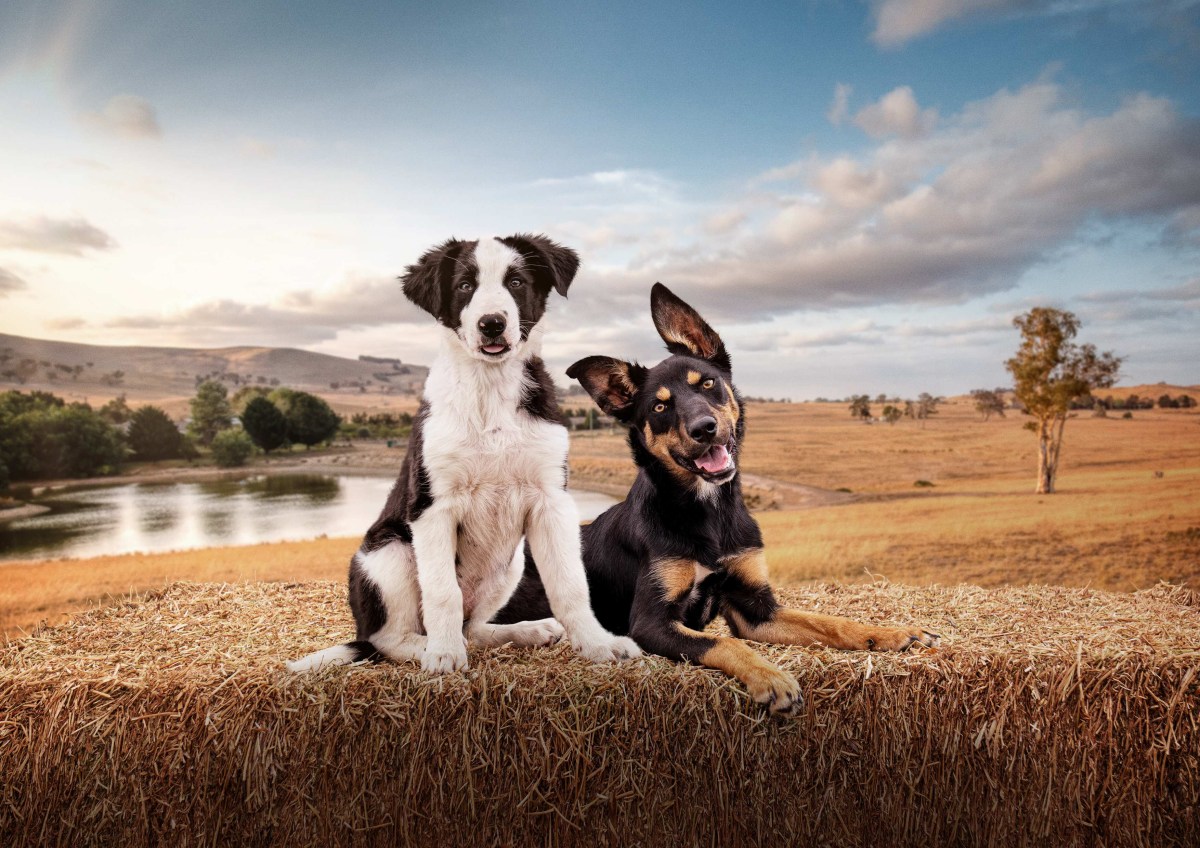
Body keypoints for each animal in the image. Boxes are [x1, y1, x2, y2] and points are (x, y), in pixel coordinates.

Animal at [286, 235, 643, 671]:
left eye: (517, 282)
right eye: (464, 286)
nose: (491, 324)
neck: (489, 386)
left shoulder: (551, 501)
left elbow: (570, 584)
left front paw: (598, 645)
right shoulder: (433, 507)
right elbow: (442, 593)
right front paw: (443, 656)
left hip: (510, 563)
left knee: (472, 627)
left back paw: (527, 630)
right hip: (388, 551)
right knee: (390, 638)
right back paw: (430, 647)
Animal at [494, 285, 936, 714]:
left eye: (707, 383)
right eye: (660, 406)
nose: (704, 428)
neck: (708, 513)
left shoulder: (755, 609)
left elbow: (828, 621)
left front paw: (891, 632)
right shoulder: (650, 624)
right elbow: (726, 642)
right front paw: (771, 679)